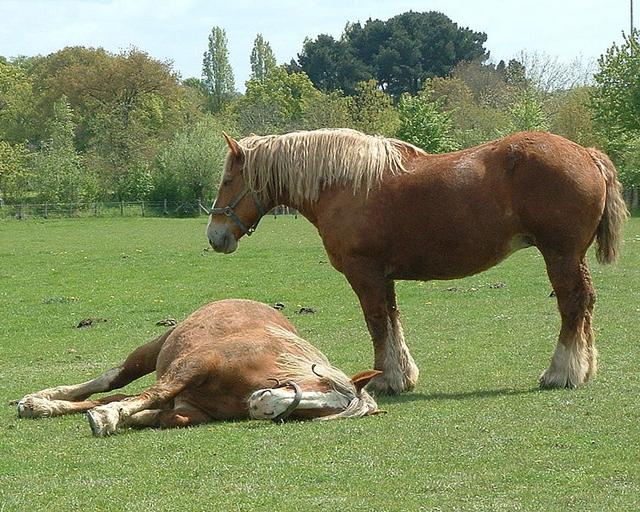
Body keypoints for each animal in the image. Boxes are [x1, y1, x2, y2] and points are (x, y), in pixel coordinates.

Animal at [17, 299, 382, 436]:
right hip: (152, 350)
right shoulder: (194, 364)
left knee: (116, 395)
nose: (263, 404)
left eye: (317, 412)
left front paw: (131, 417)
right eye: (321, 385)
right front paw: (107, 419)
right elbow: (152, 394)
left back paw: (43, 406)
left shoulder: (191, 408)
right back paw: (43, 398)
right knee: (111, 382)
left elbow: (166, 415)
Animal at [206, 128, 628, 395]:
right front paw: (401, 376)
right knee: (585, 304)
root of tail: (586, 153)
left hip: (560, 255)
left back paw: (562, 372)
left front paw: (384, 379)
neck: (343, 184)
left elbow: (377, 322)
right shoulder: (383, 275)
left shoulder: (364, 272)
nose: (215, 236)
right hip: (571, 257)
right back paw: (583, 368)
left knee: (572, 304)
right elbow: (392, 321)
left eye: (227, 180)